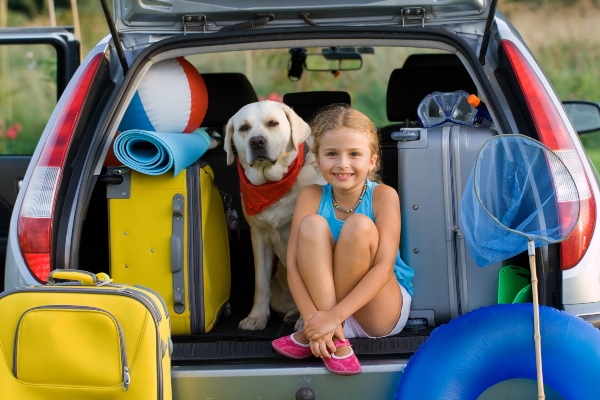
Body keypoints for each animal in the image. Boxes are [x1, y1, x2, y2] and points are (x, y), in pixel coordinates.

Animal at [225, 101, 326, 332]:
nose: (257, 141)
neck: (274, 185)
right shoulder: (259, 237)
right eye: (244, 128)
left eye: (272, 123)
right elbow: (261, 283)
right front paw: (256, 317)